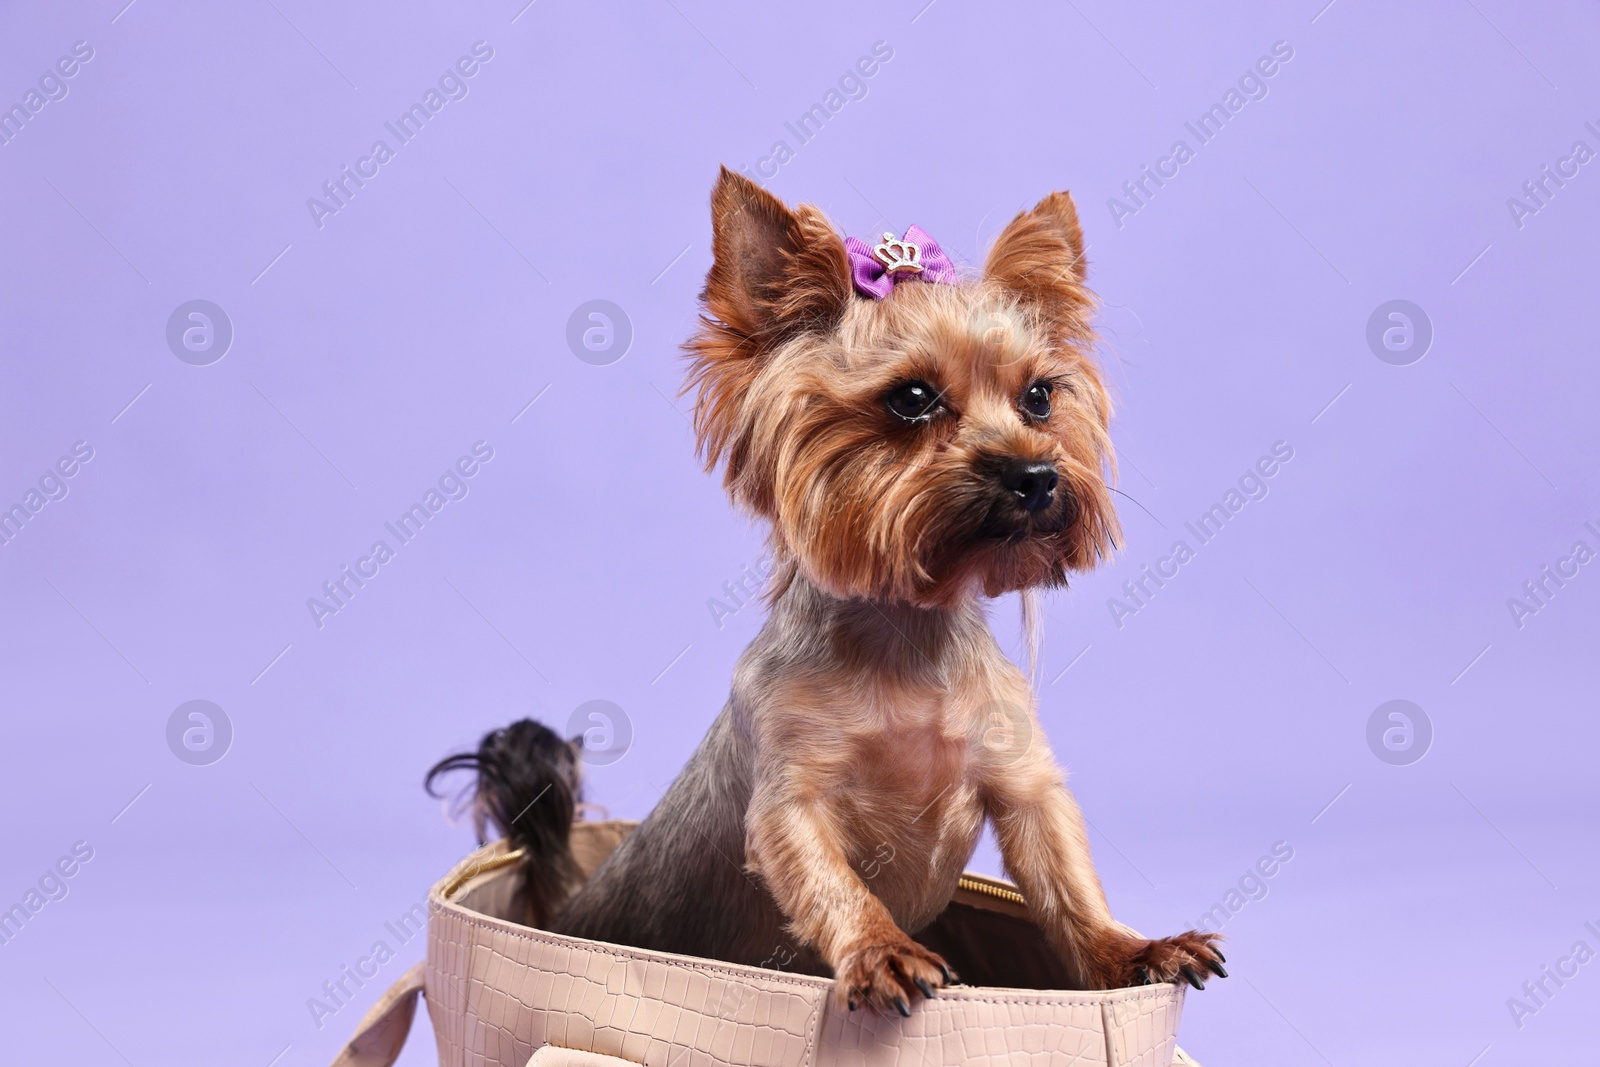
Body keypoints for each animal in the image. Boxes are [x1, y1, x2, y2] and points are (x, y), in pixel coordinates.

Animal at [435, 171, 1222, 1017]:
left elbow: (1066, 880)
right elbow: (831, 880)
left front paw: (1133, 948)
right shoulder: (791, 795)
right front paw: (883, 951)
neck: (905, 632)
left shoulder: (1020, 779)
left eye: (1040, 397)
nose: (1036, 475)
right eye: (911, 397)